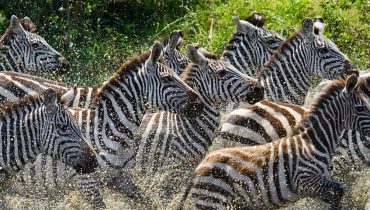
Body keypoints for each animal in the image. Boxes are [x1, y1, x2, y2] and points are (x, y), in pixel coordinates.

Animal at [179, 73, 370, 209]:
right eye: (360, 108)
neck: (315, 143)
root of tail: (196, 171)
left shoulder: (319, 185)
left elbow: (338, 192)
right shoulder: (305, 181)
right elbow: (338, 190)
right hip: (213, 199)